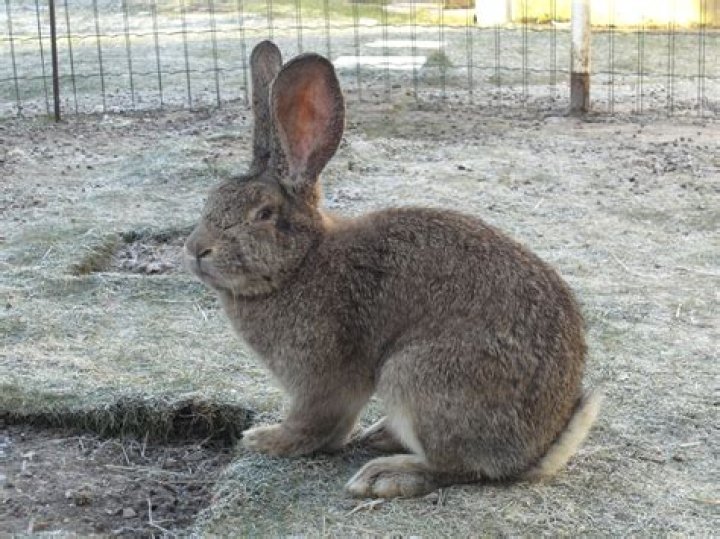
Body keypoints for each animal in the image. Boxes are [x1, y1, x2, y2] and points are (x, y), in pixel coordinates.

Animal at [183, 40, 602, 499]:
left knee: (457, 468)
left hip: (415, 376)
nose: (196, 249)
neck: (301, 262)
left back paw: (385, 475)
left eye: (262, 214)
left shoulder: (321, 379)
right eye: (211, 199)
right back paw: (381, 436)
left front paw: (266, 439)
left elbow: (314, 425)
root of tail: (535, 451)